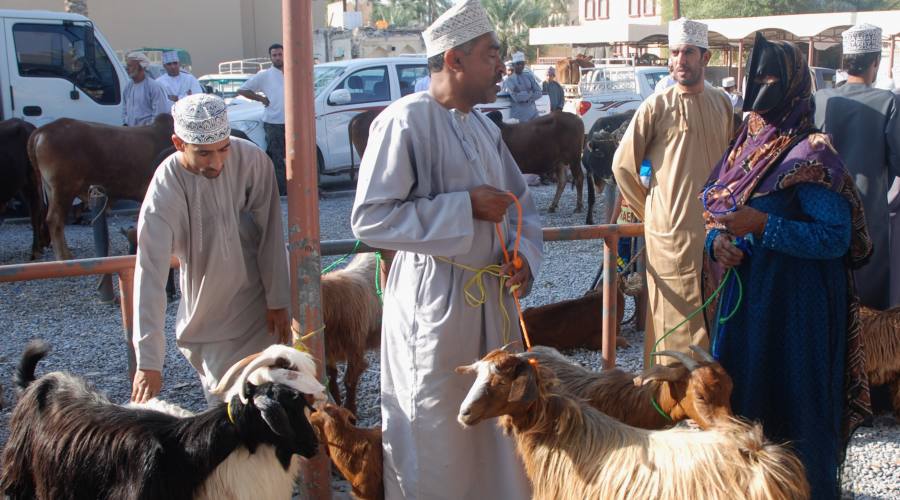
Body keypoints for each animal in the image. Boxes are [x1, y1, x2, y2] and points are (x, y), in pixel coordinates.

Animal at [322, 252, 382, 412]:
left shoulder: (355, 347)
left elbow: (349, 379)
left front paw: (350, 410)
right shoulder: (329, 350)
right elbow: (331, 376)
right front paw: (336, 403)